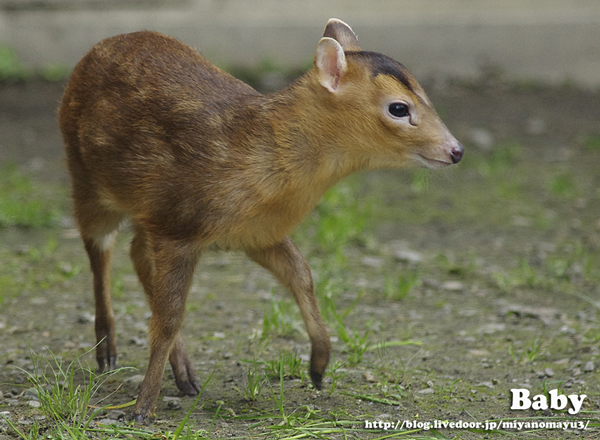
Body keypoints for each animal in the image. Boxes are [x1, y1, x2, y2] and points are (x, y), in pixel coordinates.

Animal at [58, 18, 464, 422]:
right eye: (399, 107)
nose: (456, 151)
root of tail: (95, 50)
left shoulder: (255, 233)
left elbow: (302, 274)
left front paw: (319, 366)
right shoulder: (180, 228)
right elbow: (171, 316)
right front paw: (142, 407)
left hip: (148, 211)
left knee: (136, 252)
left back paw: (185, 374)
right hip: (86, 178)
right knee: (100, 250)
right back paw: (107, 350)